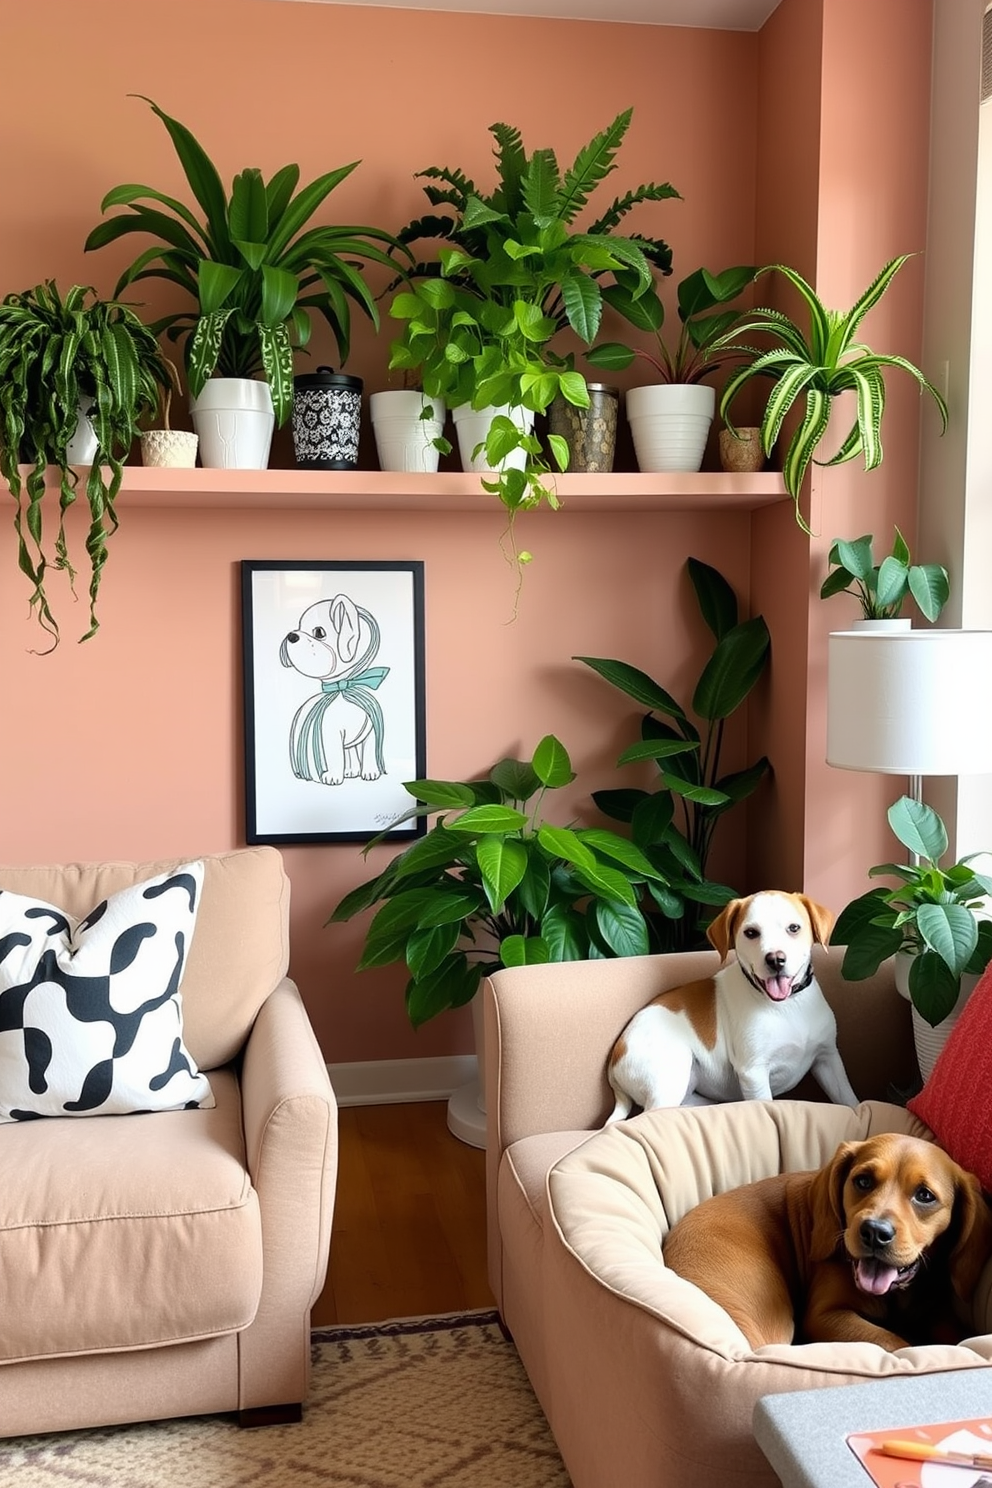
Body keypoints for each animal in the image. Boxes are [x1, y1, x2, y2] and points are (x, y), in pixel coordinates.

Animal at [606, 886, 862, 1118]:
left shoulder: (828, 1059)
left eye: (794, 928)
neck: (785, 1006)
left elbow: (850, 1101)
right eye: (751, 932)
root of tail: (614, 1061)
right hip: (670, 1080)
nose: (775, 960)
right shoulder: (754, 1074)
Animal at [663, 1130, 992, 1357]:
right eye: (863, 1181)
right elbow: (893, 1341)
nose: (874, 1232)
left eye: (925, 1196)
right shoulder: (825, 1315)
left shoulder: (938, 1314)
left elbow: (953, 1333)